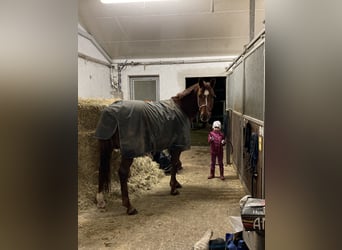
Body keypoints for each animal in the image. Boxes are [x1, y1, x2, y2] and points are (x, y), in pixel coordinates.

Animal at [95, 78, 215, 215]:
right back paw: (129, 206)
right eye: (200, 95)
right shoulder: (177, 145)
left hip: (106, 148)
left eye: (212, 96)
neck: (181, 108)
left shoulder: (172, 145)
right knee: (123, 172)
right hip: (129, 151)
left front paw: (176, 184)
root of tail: (111, 112)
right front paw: (173, 189)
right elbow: (175, 164)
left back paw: (100, 200)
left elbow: (175, 163)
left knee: (101, 169)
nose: (204, 116)